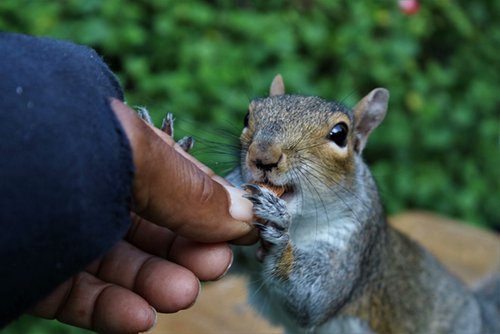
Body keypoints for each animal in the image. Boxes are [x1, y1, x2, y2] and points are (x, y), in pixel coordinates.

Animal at [227, 75, 500, 334]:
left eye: (339, 134)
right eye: (247, 116)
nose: (263, 155)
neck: (300, 223)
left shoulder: (356, 247)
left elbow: (315, 297)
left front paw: (278, 232)